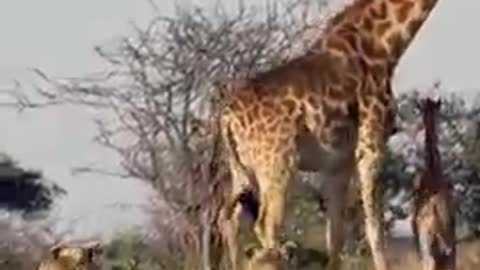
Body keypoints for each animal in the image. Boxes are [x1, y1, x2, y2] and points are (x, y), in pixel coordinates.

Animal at [218, 0, 442, 270]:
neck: (383, 44)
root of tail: (227, 118)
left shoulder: (339, 162)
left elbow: (335, 234)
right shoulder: (371, 143)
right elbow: (374, 228)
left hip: (242, 169)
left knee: (229, 220)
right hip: (277, 165)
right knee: (266, 226)